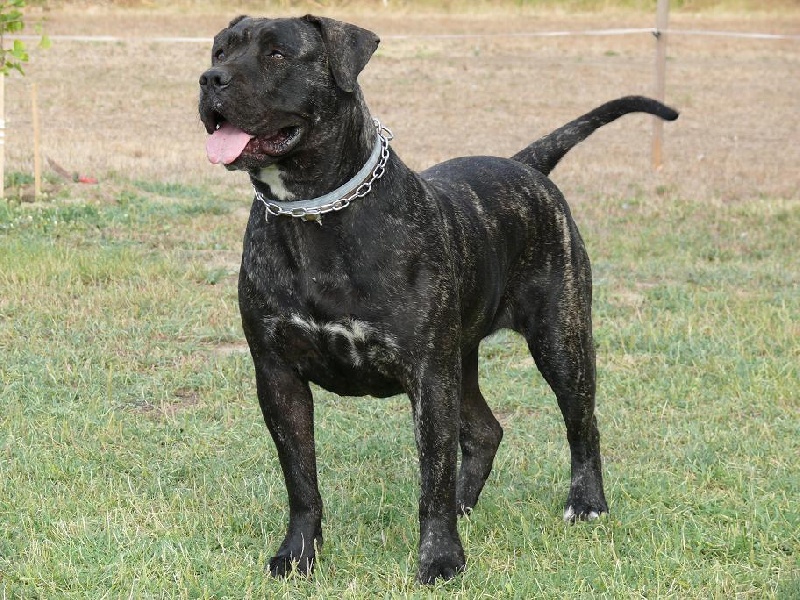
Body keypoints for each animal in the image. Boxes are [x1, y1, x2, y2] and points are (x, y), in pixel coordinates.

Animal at [199, 14, 678, 583]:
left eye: (276, 54)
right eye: (220, 50)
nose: (210, 79)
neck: (316, 214)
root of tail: (525, 166)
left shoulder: (427, 376)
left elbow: (433, 476)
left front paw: (441, 558)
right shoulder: (278, 375)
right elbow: (301, 480)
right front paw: (298, 555)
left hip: (560, 341)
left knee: (582, 425)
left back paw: (586, 504)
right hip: (461, 361)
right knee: (486, 431)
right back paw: (467, 504)